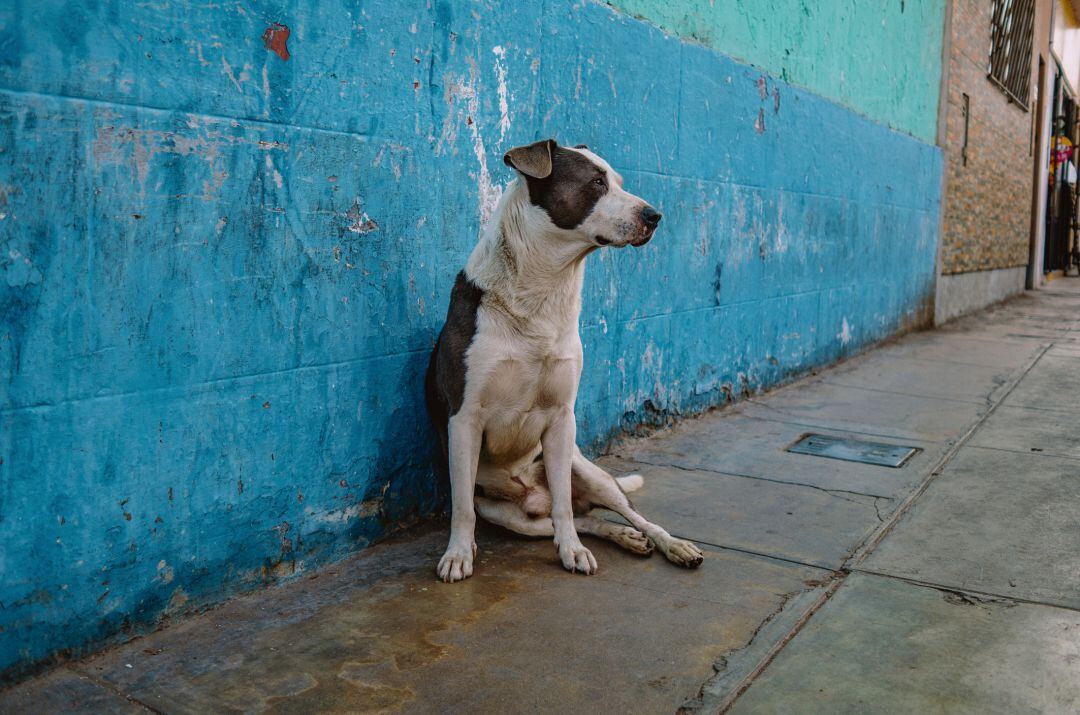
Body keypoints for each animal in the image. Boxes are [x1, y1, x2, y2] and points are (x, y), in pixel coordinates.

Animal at [425, 138, 704, 583]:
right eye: (596, 183)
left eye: (618, 181)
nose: (654, 216)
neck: (541, 292)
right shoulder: (464, 419)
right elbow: (462, 508)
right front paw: (457, 554)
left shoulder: (561, 418)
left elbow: (564, 507)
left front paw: (572, 552)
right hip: (507, 515)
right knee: (577, 518)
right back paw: (623, 537)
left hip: (589, 472)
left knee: (617, 512)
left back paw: (669, 544)